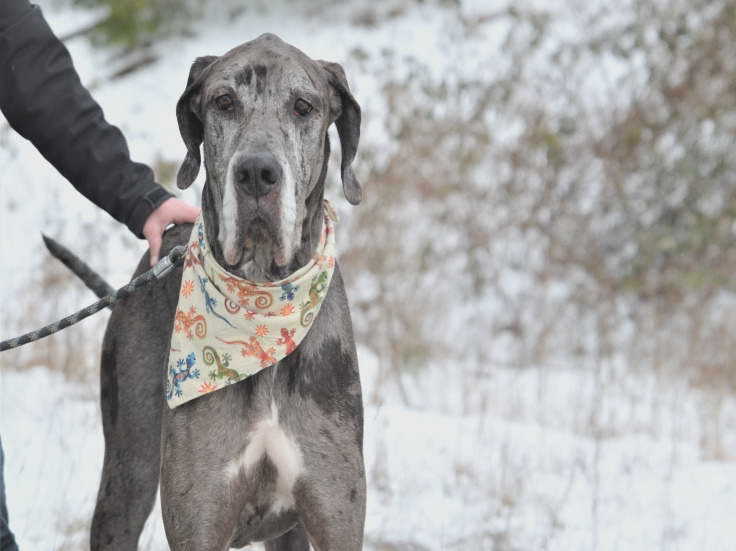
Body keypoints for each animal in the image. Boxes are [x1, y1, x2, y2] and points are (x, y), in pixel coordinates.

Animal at [45, 32, 366, 548]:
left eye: (303, 106)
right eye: (223, 102)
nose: (256, 172)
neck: (261, 300)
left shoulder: (336, 514)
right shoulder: (198, 518)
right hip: (127, 475)